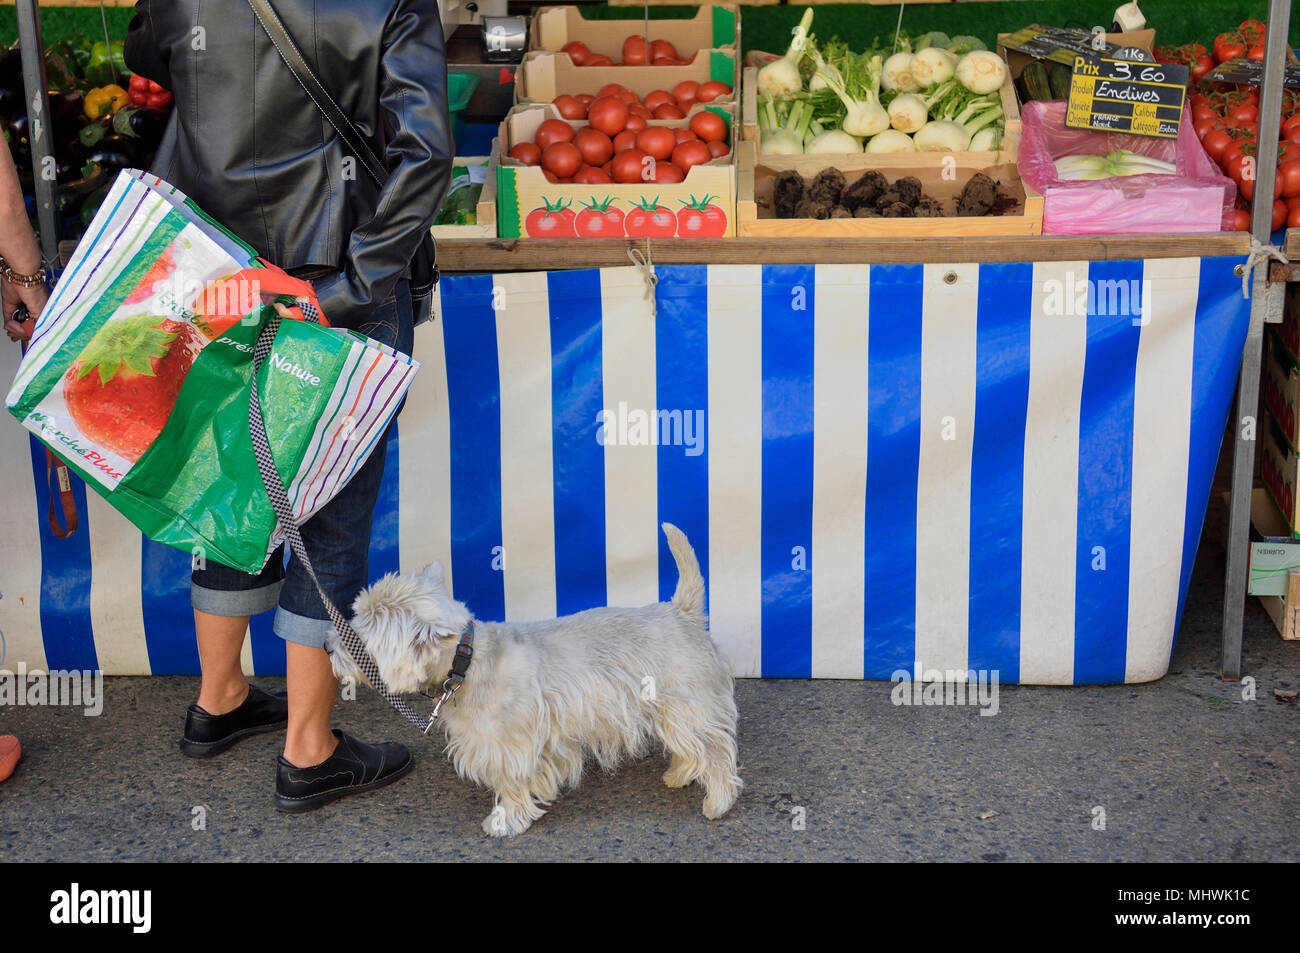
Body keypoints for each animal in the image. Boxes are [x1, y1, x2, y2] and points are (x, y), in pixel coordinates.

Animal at [332, 520, 743, 832]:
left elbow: (512, 784)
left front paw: (505, 821)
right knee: (692, 748)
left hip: (686, 707)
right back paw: (681, 774)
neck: (468, 662)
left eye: (360, 633)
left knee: (715, 750)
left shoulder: (511, 746)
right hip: (669, 712)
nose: (327, 645)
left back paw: (718, 801)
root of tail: (681, 611)